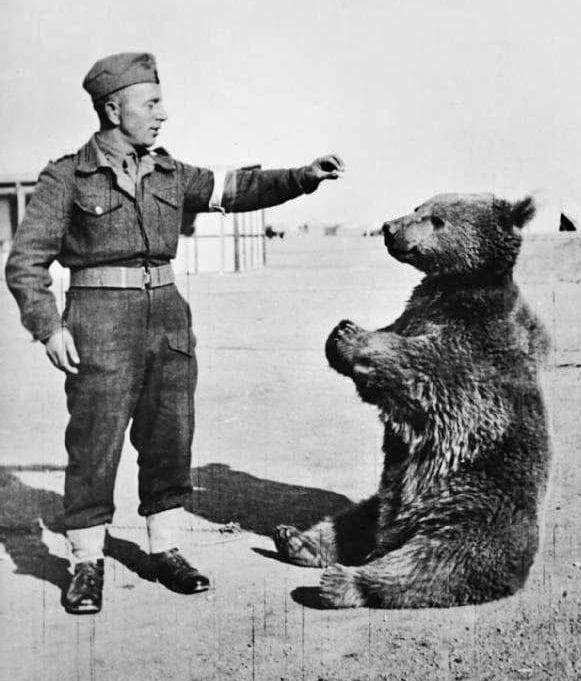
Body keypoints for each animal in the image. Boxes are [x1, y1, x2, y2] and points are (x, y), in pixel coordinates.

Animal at [274, 192, 552, 609]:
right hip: (383, 500)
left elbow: (421, 367)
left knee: (433, 562)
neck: (457, 284)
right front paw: (340, 330)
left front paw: (352, 335)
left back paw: (342, 582)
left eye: (436, 218)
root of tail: (395, 533)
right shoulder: (415, 311)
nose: (390, 227)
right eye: (419, 206)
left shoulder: (473, 342)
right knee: (351, 519)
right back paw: (296, 539)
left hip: (471, 513)